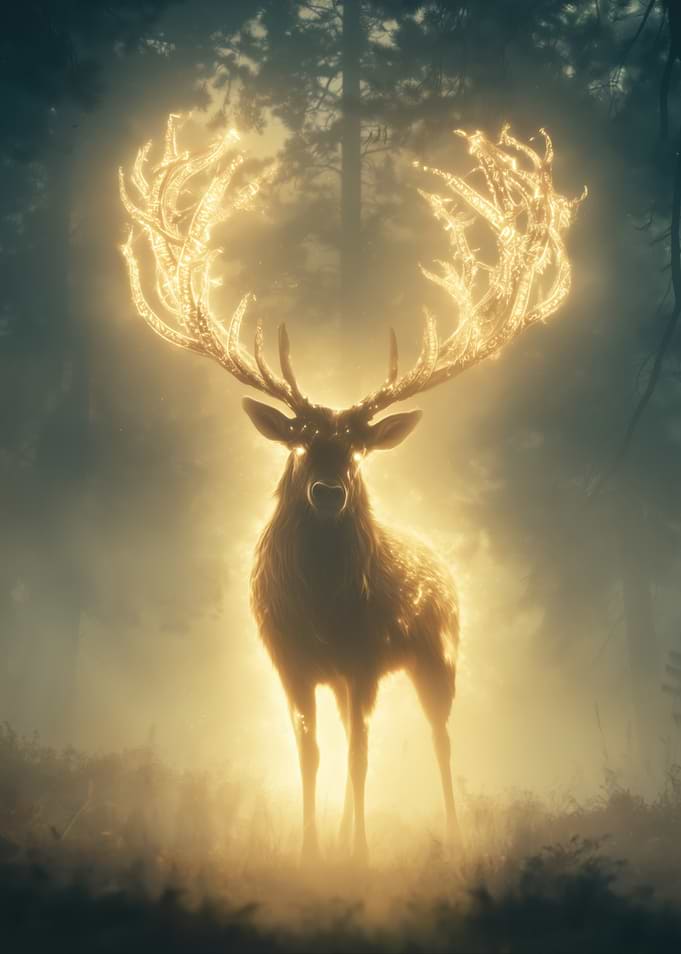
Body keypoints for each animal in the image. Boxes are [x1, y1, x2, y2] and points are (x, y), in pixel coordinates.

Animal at [120, 115, 584, 862]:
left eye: (358, 450)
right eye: (302, 441)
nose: (327, 493)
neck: (321, 608)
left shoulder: (365, 655)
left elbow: (363, 758)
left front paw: (360, 857)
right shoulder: (289, 660)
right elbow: (311, 756)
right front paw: (312, 853)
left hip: (439, 654)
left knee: (437, 739)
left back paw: (452, 837)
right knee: (350, 739)